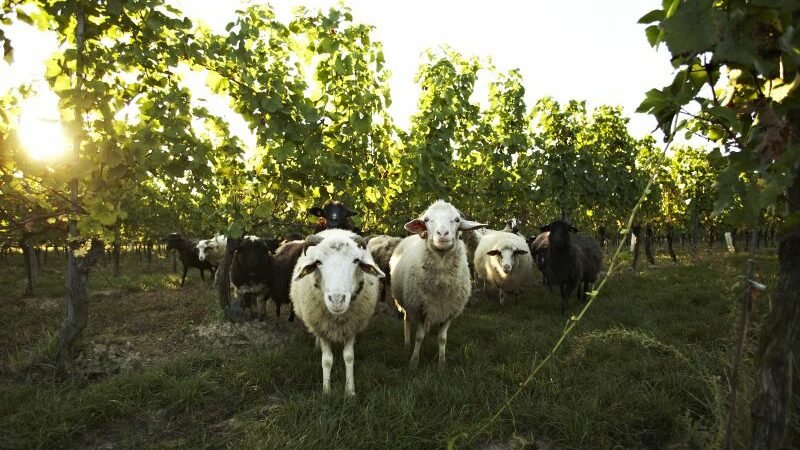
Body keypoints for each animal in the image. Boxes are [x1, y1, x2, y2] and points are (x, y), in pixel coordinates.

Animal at [290, 230, 386, 396]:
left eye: (356, 260)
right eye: (318, 262)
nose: (337, 299)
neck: (337, 318)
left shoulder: (351, 327)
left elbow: (349, 357)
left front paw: (350, 391)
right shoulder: (322, 328)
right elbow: (327, 360)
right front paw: (326, 392)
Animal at [390, 200, 488, 370]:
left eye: (457, 220)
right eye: (427, 220)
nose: (442, 234)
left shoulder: (449, 311)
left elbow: (442, 339)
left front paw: (442, 365)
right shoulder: (420, 309)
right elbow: (419, 337)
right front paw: (413, 362)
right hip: (406, 303)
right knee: (407, 320)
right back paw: (407, 344)